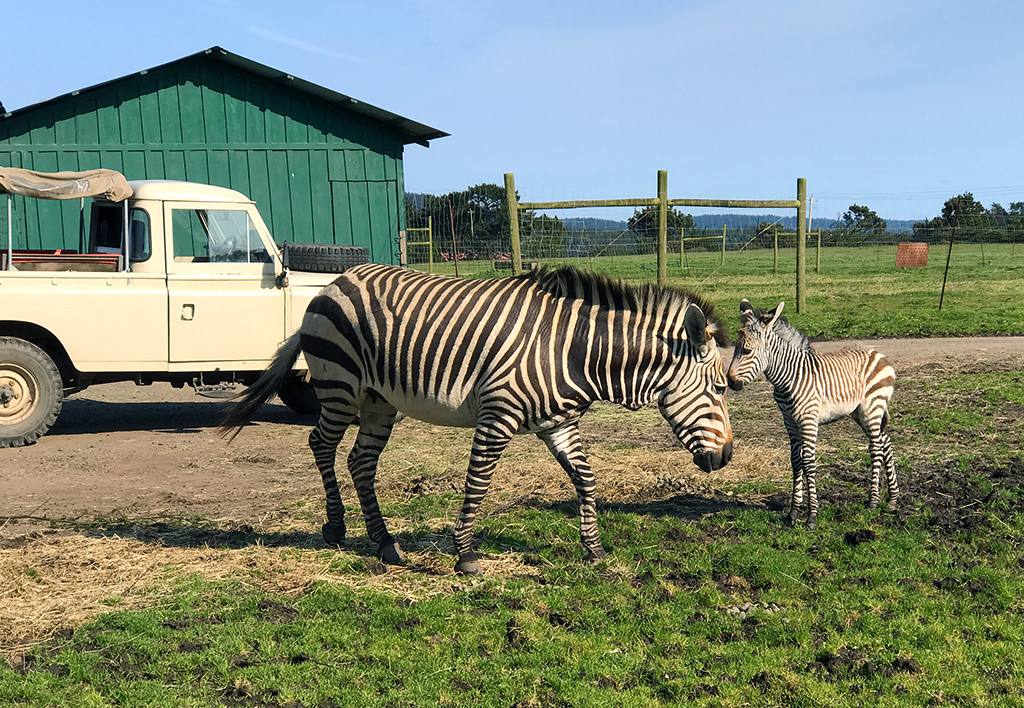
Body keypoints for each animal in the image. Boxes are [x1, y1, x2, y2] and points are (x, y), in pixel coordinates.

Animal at [225, 262, 737, 573]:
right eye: (718, 388)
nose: (728, 457)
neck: (572, 352)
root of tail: (335, 282)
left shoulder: (558, 423)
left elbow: (587, 479)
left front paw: (593, 549)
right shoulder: (498, 414)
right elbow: (479, 482)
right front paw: (466, 554)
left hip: (378, 400)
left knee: (360, 461)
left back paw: (385, 541)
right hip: (340, 389)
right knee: (322, 445)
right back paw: (335, 528)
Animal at [729, 297, 897, 528]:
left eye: (746, 351)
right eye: (734, 349)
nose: (730, 382)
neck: (788, 377)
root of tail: (877, 353)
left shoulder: (808, 420)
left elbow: (808, 462)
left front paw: (812, 515)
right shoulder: (789, 421)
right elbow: (795, 461)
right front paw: (793, 512)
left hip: (872, 408)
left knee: (876, 448)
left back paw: (873, 501)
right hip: (861, 412)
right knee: (885, 442)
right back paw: (892, 500)